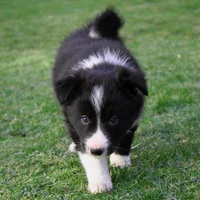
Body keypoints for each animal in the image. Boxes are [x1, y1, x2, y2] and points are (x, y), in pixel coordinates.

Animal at [52, 8, 148, 194]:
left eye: (113, 120)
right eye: (84, 119)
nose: (97, 150)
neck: (101, 66)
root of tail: (91, 32)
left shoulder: (134, 112)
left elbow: (126, 134)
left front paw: (120, 160)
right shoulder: (73, 121)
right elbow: (89, 154)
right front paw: (100, 183)